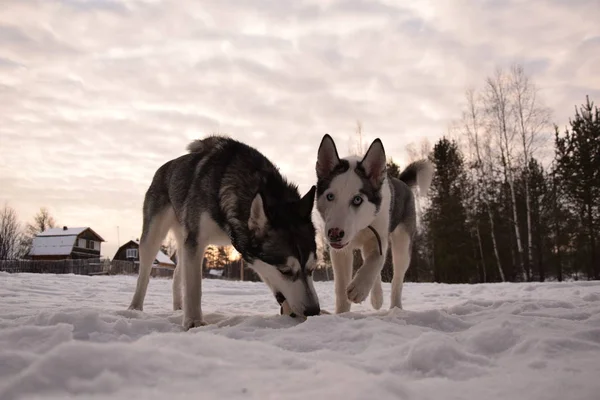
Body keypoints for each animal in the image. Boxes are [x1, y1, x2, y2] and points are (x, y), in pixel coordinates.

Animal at [129, 134, 322, 328]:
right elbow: (194, 287)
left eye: (312, 268)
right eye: (285, 271)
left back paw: (178, 308)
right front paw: (194, 322)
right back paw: (135, 308)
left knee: (178, 272)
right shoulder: (196, 241)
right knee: (144, 274)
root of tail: (165, 167)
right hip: (153, 237)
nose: (313, 311)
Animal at [314, 134, 432, 312]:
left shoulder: (379, 238)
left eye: (357, 199)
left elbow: (375, 261)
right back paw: (377, 298)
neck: (360, 228)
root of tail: (401, 182)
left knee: (397, 279)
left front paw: (359, 288)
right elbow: (341, 288)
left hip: (403, 244)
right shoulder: (340, 252)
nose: (334, 234)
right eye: (330, 196)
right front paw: (342, 313)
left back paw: (395, 308)